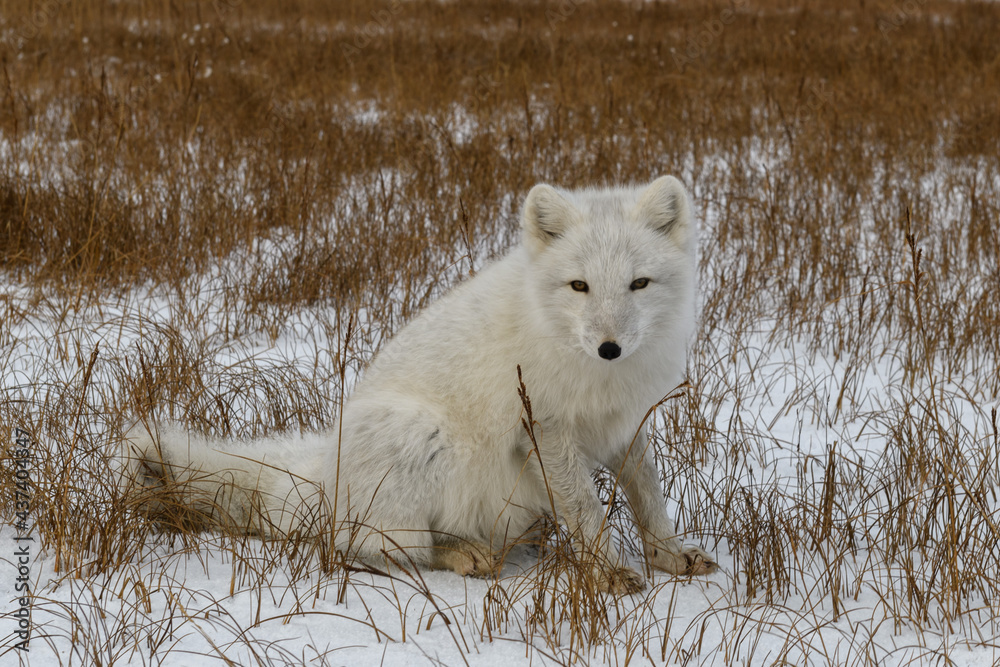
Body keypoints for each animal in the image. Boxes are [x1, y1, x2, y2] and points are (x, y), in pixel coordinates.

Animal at [121, 175, 717, 593]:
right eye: (579, 286)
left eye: (639, 284)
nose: (609, 347)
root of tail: (325, 475)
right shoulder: (545, 428)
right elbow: (588, 512)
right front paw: (608, 573)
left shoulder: (625, 425)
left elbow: (648, 497)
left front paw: (668, 556)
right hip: (423, 438)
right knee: (378, 547)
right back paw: (463, 553)